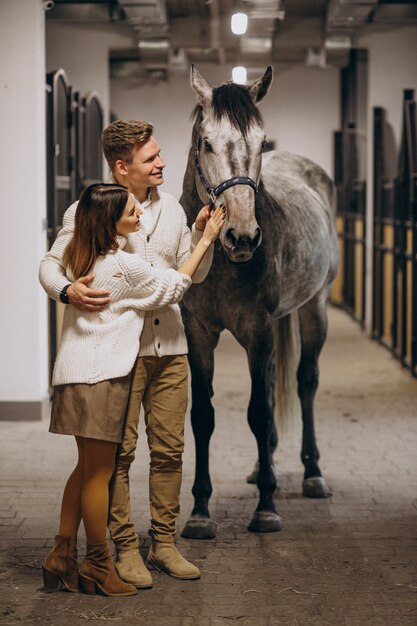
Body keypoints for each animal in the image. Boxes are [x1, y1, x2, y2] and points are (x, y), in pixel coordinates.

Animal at [179, 67, 338, 536]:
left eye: (261, 142)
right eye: (206, 142)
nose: (243, 237)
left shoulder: (259, 331)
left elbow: (259, 413)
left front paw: (266, 508)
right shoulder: (199, 334)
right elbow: (204, 417)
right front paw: (199, 511)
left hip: (314, 309)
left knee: (305, 382)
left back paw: (312, 474)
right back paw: (259, 466)